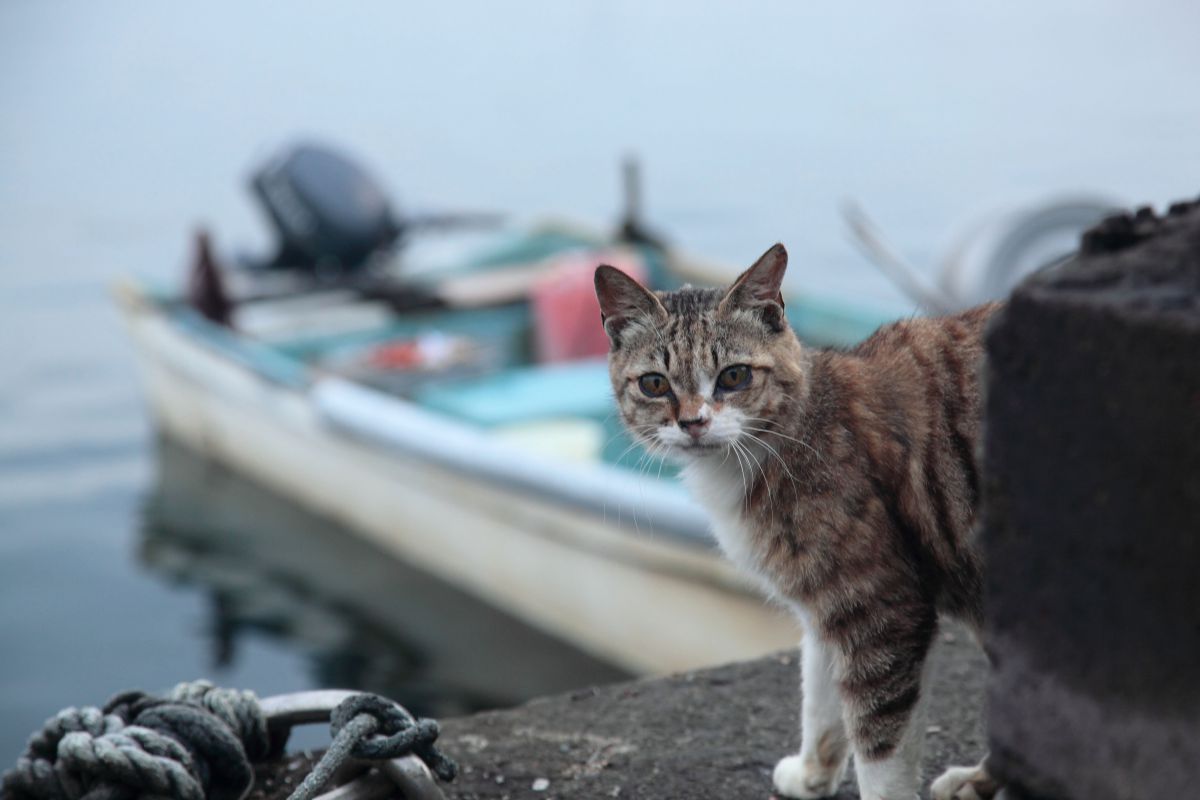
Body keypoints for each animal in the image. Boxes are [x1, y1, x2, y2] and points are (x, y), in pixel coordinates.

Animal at [595, 245, 998, 800]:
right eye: (655, 384)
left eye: (734, 376)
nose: (694, 422)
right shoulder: (825, 603)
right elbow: (822, 701)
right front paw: (812, 774)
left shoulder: (882, 605)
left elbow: (880, 742)